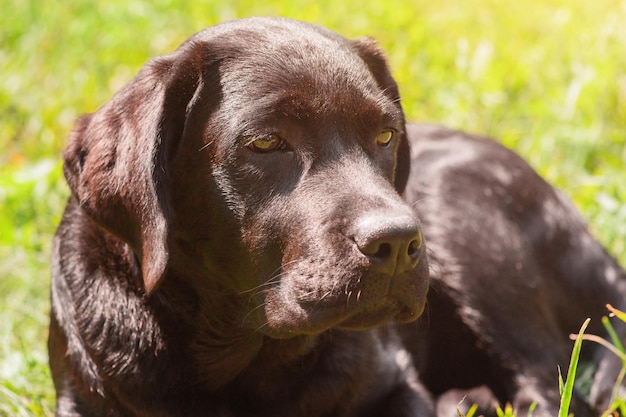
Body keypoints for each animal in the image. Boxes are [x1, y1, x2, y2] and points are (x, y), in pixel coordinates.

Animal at [46, 16, 620, 416]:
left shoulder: (396, 385)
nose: (396, 242)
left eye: (386, 135)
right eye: (266, 142)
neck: (241, 360)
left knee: (548, 385)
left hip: (465, 220)